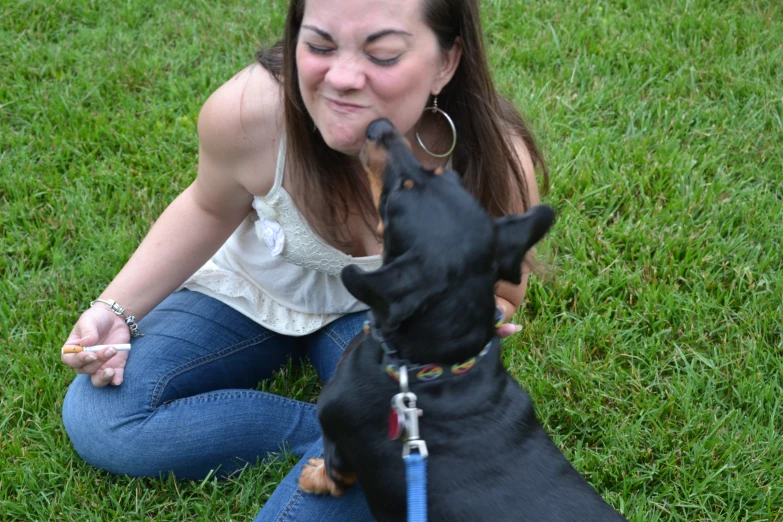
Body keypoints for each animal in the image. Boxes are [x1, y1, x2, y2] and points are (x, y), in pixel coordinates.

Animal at [298, 119, 628, 520]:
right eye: (443, 172)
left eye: (398, 196)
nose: (379, 126)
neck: (437, 369)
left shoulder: (336, 431)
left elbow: (334, 474)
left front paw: (312, 475)